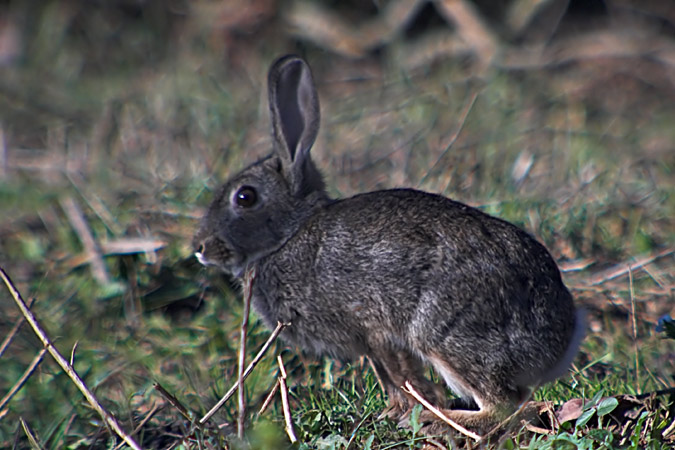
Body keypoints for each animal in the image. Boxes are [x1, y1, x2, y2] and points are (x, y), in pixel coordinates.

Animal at [195, 54, 588, 430]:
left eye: (245, 197)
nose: (200, 248)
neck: (289, 234)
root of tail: (561, 339)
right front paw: (393, 412)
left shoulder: (374, 328)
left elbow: (400, 375)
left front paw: (411, 412)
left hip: (447, 334)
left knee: (502, 405)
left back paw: (443, 420)